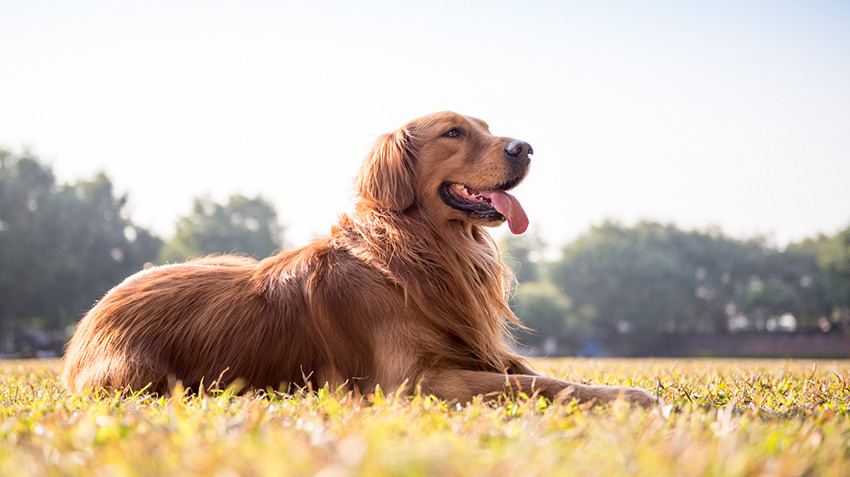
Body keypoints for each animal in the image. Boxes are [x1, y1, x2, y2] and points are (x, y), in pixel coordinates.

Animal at [61, 110, 656, 406]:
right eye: (454, 132)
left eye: (488, 130)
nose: (526, 148)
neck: (422, 251)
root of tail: (88, 322)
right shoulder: (413, 382)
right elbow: (537, 384)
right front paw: (634, 395)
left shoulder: (475, 351)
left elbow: (537, 373)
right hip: (142, 376)